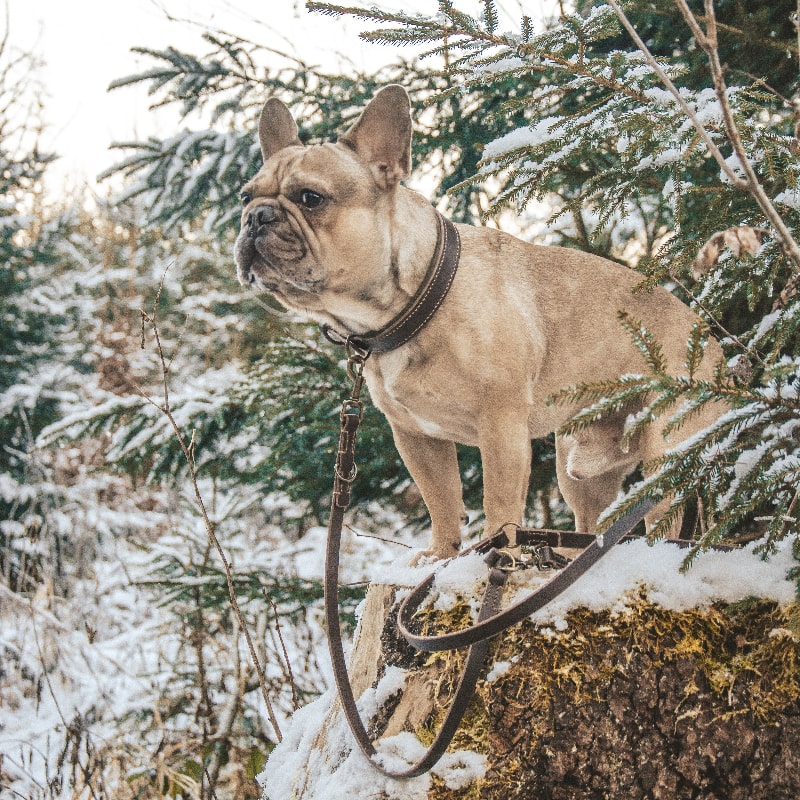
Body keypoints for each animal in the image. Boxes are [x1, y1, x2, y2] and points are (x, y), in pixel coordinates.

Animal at [233, 84, 724, 560]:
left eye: (311, 198)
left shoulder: (501, 425)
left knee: (664, 519)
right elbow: (442, 498)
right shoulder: (415, 435)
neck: (415, 305)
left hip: (664, 451)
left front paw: (497, 551)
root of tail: (712, 342)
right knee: (593, 525)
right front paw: (441, 555)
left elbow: (499, 503)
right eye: (245, 197)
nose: (256, 217)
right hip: (578, 467)